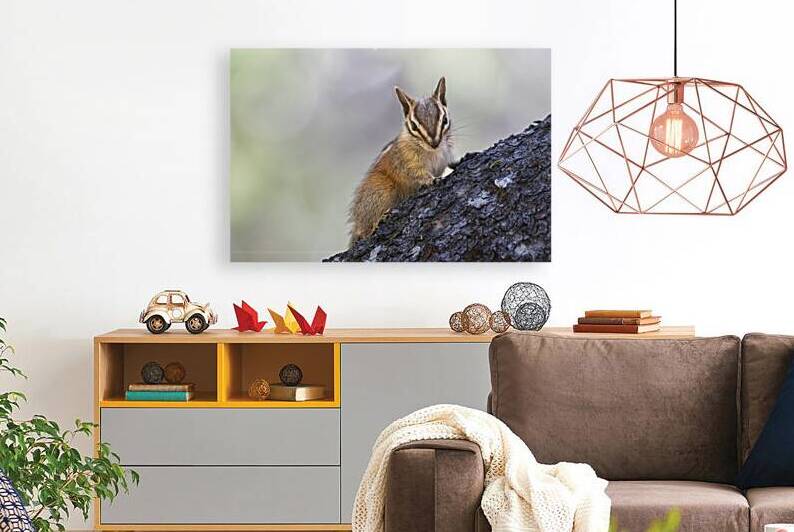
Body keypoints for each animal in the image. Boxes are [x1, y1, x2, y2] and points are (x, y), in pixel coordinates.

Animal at [348, 77, 456, 244]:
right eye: (413, 126)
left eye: (445, 120)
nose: (434, 143)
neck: (433, 152)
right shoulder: (406, 160)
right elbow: (416, 173)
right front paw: (431, 180)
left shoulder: (445, 155)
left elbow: (448, 163)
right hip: (380, 189)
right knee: (365, 230)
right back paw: (377, 221)